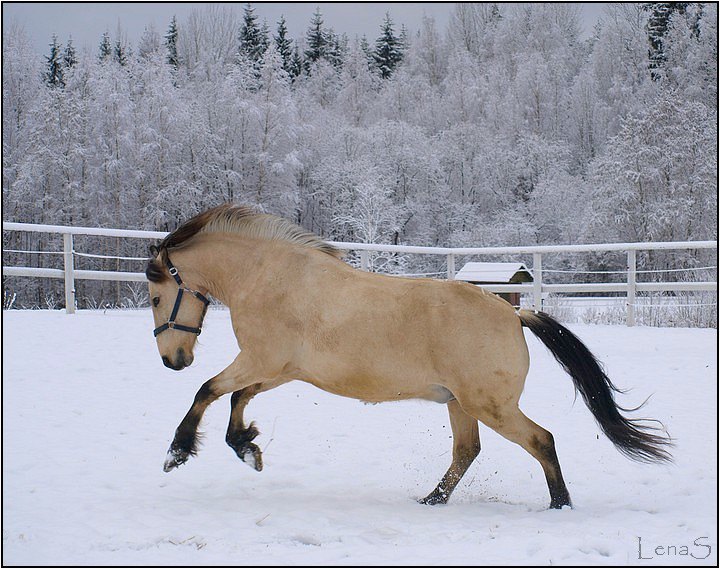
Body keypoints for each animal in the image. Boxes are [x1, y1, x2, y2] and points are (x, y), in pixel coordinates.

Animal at [143, 203, 672, 506]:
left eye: (153, 296)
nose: (173, 359)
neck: (271, 277)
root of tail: (514, 313)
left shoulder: (261, 361)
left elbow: (208, 390)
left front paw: (178, 452)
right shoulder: (279, 369)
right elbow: (236, 398)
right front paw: (247, 447)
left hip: (491, 405)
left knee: (541, 440)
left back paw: (560, 504)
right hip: (461, 404)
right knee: (467, 451)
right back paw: (431, 500)